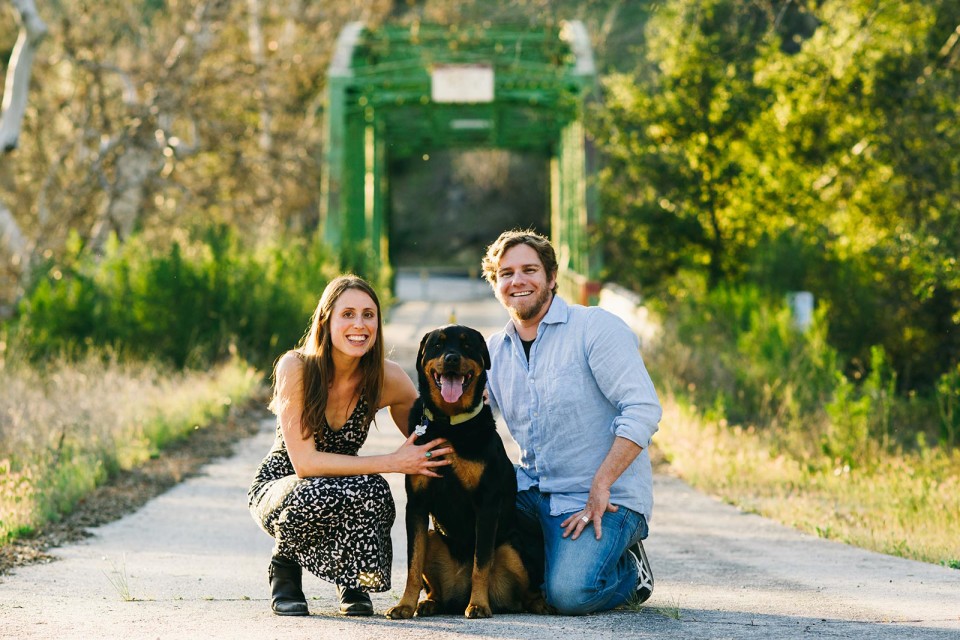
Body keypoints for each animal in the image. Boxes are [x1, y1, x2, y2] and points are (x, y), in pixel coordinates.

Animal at [384, 324, 548, 620]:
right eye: (437, 345)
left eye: (467, 345)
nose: (451, 358)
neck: (450, 425)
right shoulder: (416, 505)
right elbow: (413, 565)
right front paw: (405, 605)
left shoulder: (487, 503)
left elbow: (480, 563)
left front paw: (479, 605)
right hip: (433, 537)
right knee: (434, 585)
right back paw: (429, 603)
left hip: (511, 548)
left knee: (527, 591)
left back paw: (537, 604)